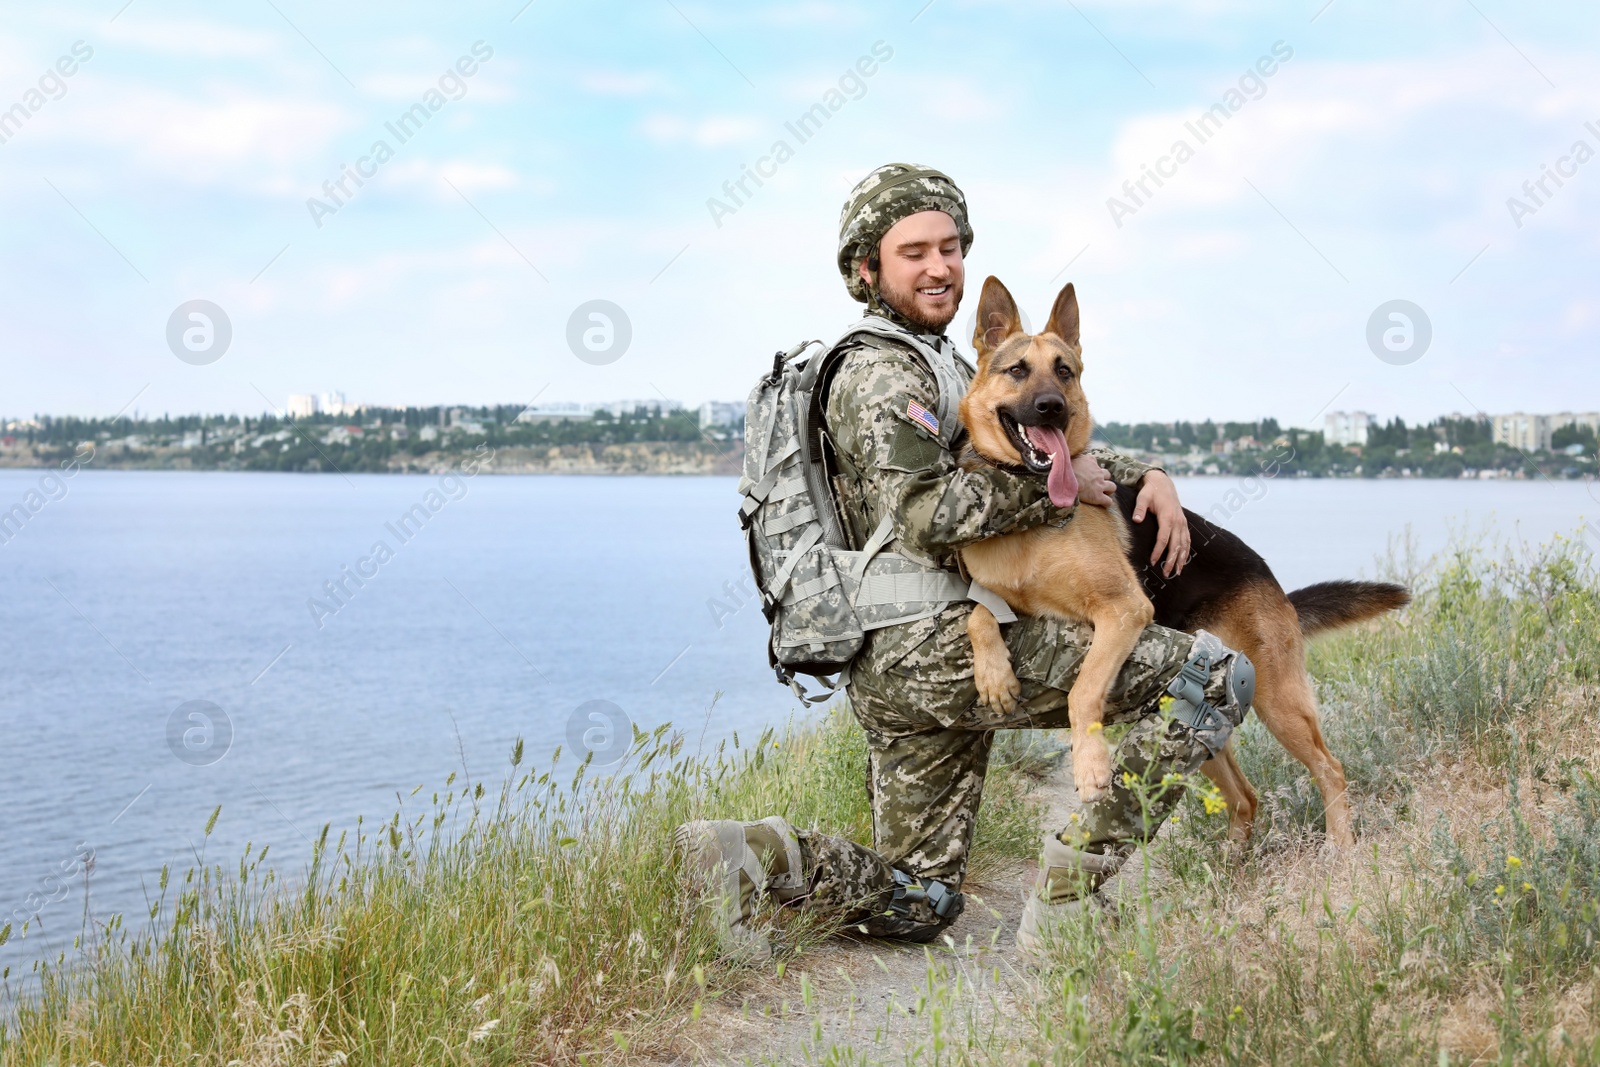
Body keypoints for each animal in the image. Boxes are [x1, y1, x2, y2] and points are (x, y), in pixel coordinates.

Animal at [953, 279, 1408, 844]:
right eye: (1017, 370)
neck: (1031, 511)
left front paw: (1091, 767)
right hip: (1204, 711)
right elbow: (978, 614)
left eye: (1064, 371)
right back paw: (1233, 864)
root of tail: (1272, 579)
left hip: (1274, 700)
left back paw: (1340, 849)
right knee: (1245, 796)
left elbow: (1084, 691)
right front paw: (994, 676)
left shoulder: (1123, 611)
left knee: (1331, 769)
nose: (1052, 407)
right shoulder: (1005, 600)